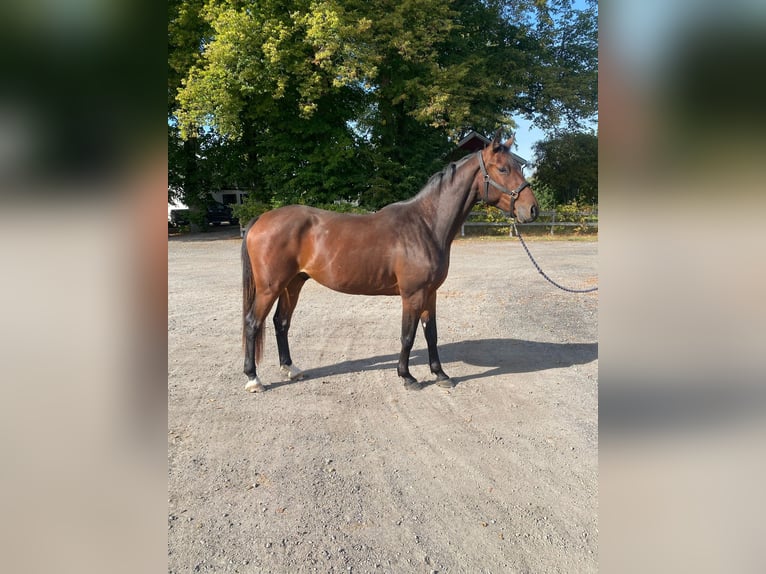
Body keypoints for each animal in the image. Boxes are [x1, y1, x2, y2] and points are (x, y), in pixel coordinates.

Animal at [242, 134, 540, 394]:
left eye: (518, 166)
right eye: (503, 168)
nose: (532, 209)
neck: (425, 225)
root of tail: (260, 219)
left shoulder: (430, 293)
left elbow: (431, 334)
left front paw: (440, 374)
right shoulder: (412, 294)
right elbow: (407, 335)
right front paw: (407, 377)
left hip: (293, 283)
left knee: (281, 322)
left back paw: (290, 369)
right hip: (270, 287)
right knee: (253, 323)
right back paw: (253, 379)